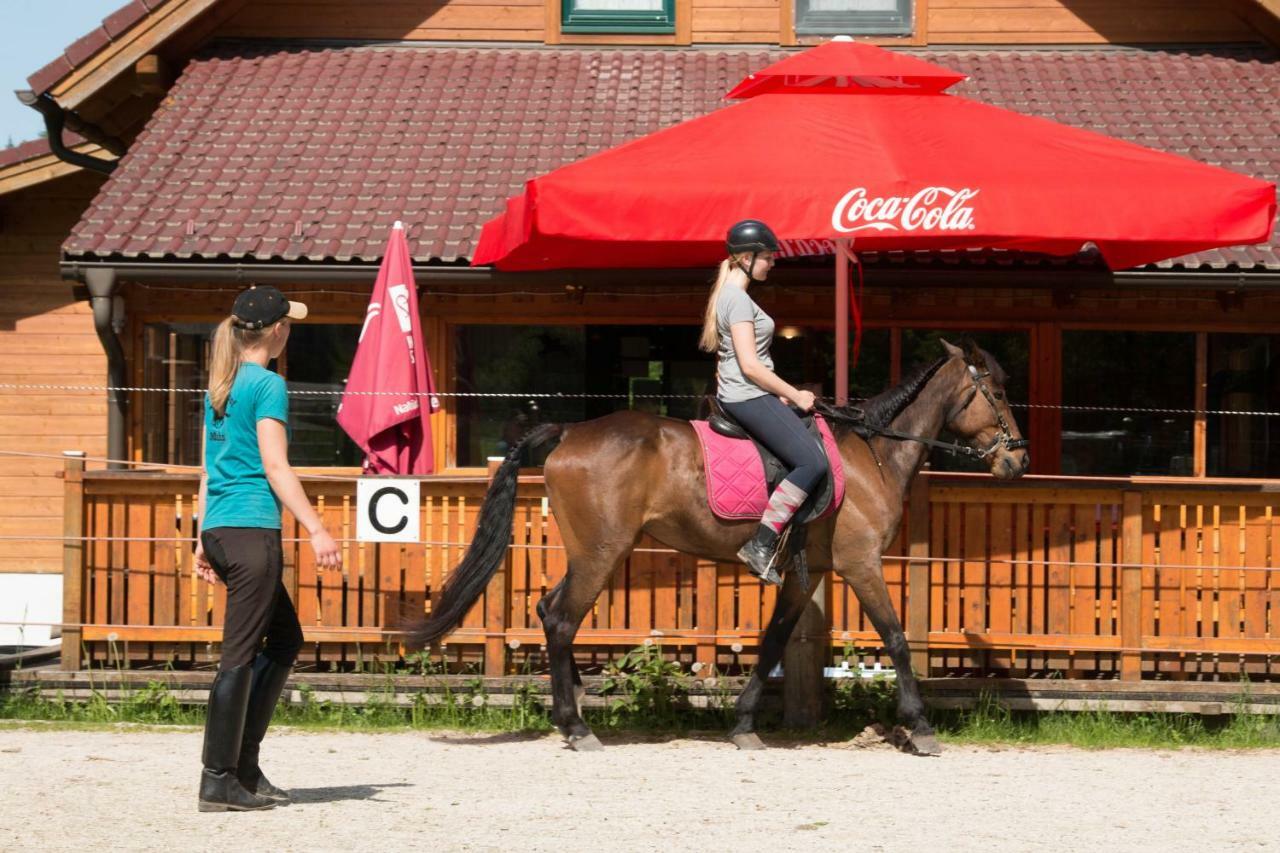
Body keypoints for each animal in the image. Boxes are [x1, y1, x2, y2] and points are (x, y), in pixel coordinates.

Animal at [409, 338, 1029, 753]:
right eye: (996, 392)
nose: (1017, 462)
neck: (871, 453)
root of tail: (568, 433)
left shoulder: (805, 574)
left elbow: (774, 642)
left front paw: (744, 725)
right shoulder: (861, 565)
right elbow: (898, 640)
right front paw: (920, 728)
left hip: (594, 551)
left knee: (546, 609)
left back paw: (571, 714)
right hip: (603, 553)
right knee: (562, 619)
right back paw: (579, 728)